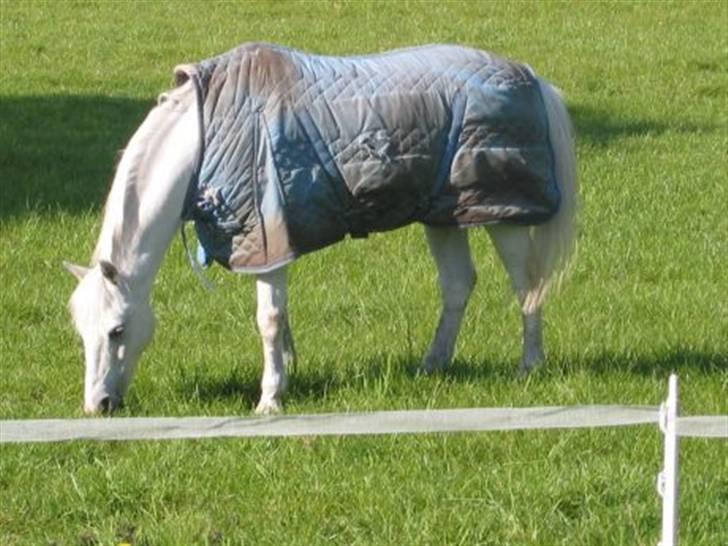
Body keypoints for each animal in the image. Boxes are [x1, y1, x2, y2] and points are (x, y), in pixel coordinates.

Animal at [65, 43, 577, 415]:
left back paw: (528, 366)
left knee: (527, 286)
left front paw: (270, 399)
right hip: (447, 214)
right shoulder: (271, 246)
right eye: (81, 331)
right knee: (457, 285)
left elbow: (268, 320)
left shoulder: (268, 242)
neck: (206, 137)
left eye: (117, 330)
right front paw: (287, 375)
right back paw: (432, 365)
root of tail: (530, 75)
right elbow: (281, 319)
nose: (98, 406)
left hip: (503, 216)